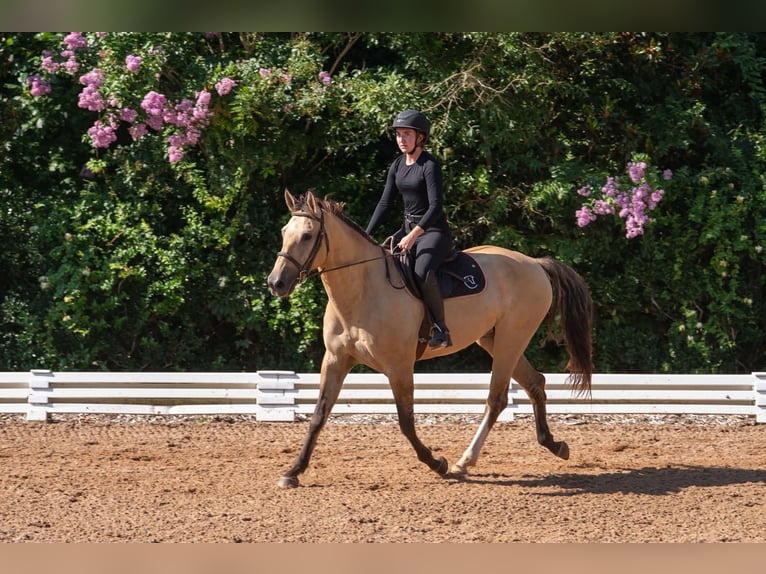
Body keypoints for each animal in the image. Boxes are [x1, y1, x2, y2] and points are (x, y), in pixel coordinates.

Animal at [267, 190, 593, 488]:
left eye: (308, 235)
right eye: (283, 233)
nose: (276, 283)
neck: (362, 291)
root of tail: (535, 263)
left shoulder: (399, 366)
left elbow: (406, 422)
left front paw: (437, 463)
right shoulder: (335, 360)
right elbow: (318, 416)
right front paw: (293, 471)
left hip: (511, 340)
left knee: (497, 398)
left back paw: (464, 461)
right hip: (494, 340)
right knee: (535, 382)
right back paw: (554, 445)